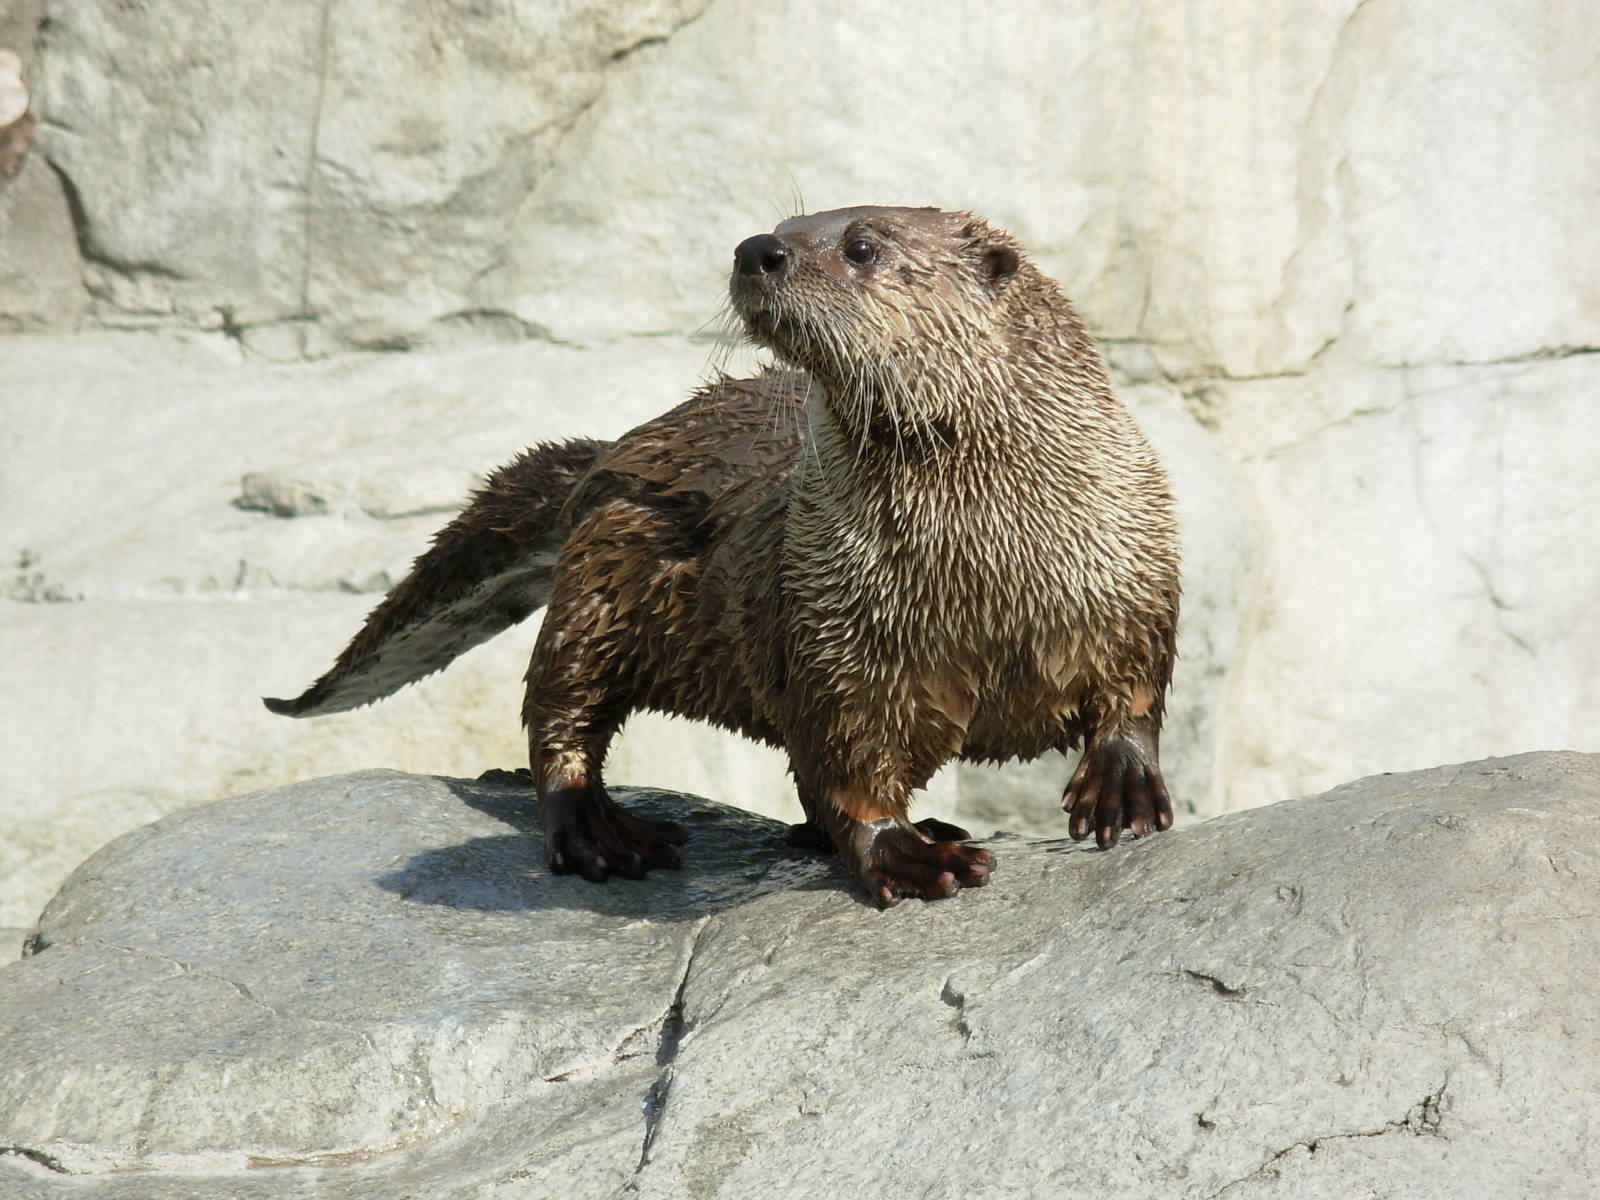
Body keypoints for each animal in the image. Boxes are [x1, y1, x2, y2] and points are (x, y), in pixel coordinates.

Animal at [266, 206, 1181, 906]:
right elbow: (847, 762)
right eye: (787, 222)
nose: (757, 249)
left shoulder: (1136, 566)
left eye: (862, 245)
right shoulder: (831, 625)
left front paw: (1123, 790)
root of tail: (618, 448)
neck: (984, 569)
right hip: (600, 576)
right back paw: (603, 833)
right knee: (559, 711)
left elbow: (1134, 693)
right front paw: (908, 856)